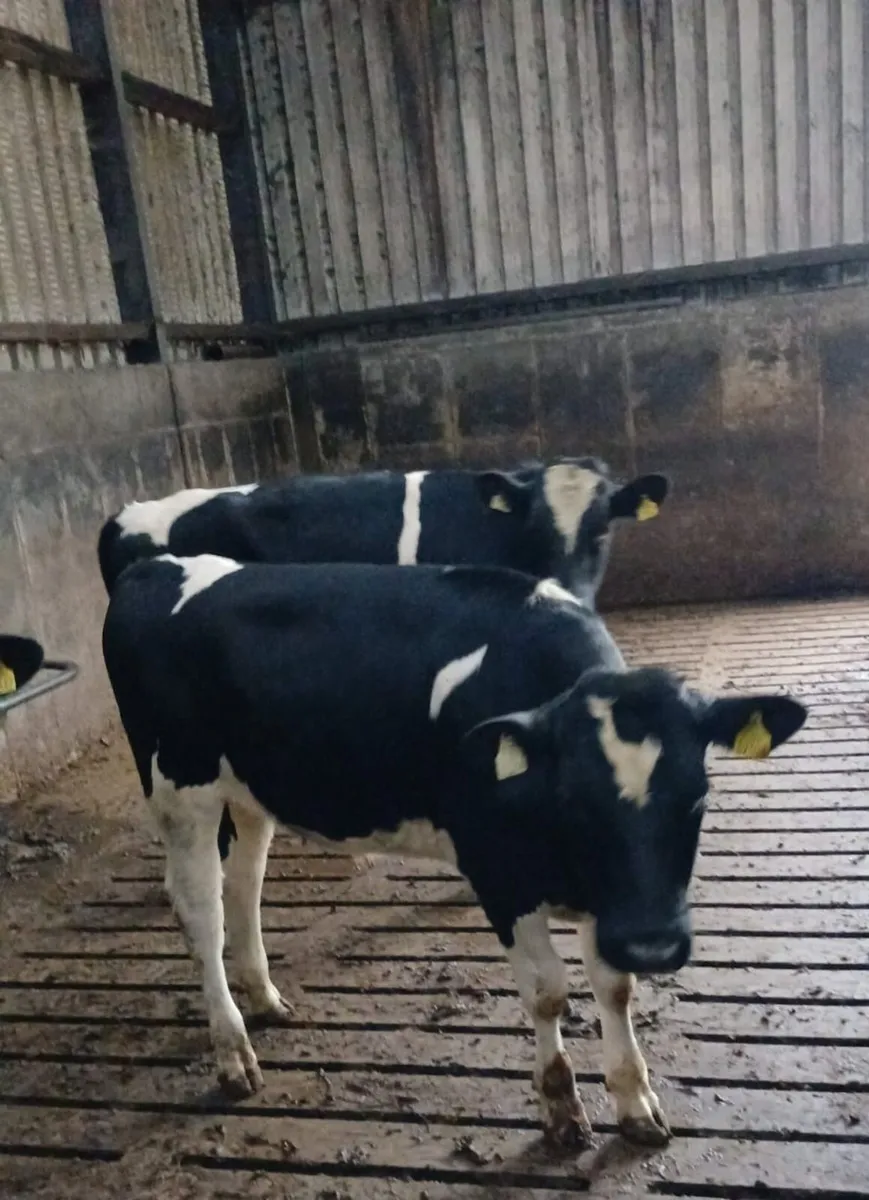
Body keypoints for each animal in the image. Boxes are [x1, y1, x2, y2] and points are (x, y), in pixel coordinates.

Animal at [103, 555, 806, 1150]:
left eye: (697, 797)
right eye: (574, 798)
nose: (655, 944)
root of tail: (155, 567)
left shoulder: (610, 902)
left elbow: (614, 987)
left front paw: (635, 1105)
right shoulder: (499, 871)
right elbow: (548, 991)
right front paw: (561, 1110)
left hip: (248, 791)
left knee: (244, 884)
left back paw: (266, 1000)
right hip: (180, 787)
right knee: (202, 910)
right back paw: (232, 1053)